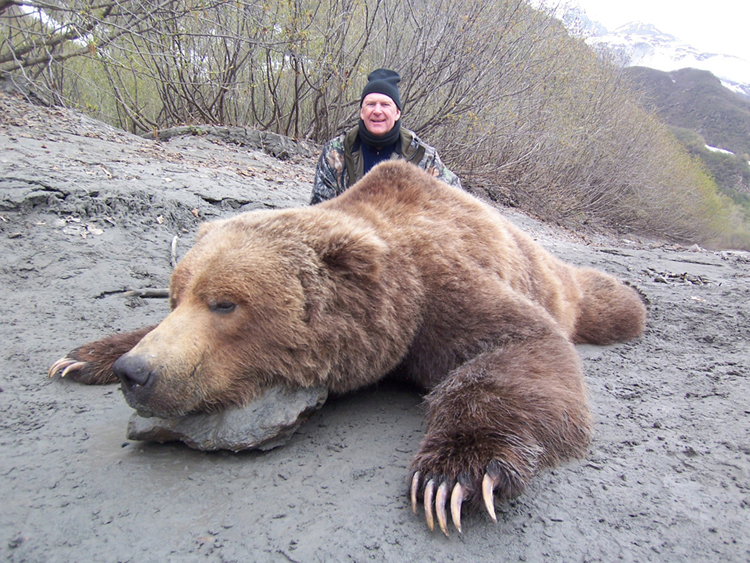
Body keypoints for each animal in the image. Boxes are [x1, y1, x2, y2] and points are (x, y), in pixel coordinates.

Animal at [49, 160, 646, 536]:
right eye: (177, 296)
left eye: (225, 304)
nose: (136, 372)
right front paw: (82, 355)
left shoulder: (441, 290)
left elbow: (520, 343)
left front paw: (454, 475)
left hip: (559, 283)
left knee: (601, 302)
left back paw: (632, 300)